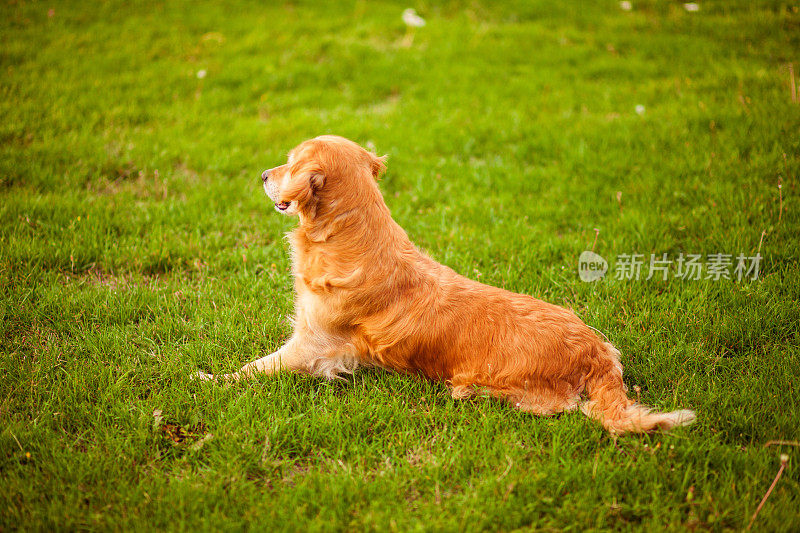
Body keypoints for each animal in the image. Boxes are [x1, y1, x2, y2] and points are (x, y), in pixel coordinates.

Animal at [197, 134, 696, 432]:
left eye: (288, 163)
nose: (263, 175)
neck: (350, 237)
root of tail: (596, 352)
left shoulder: (311, 347)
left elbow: (254, 368)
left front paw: (209, 377)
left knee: (562, 406)